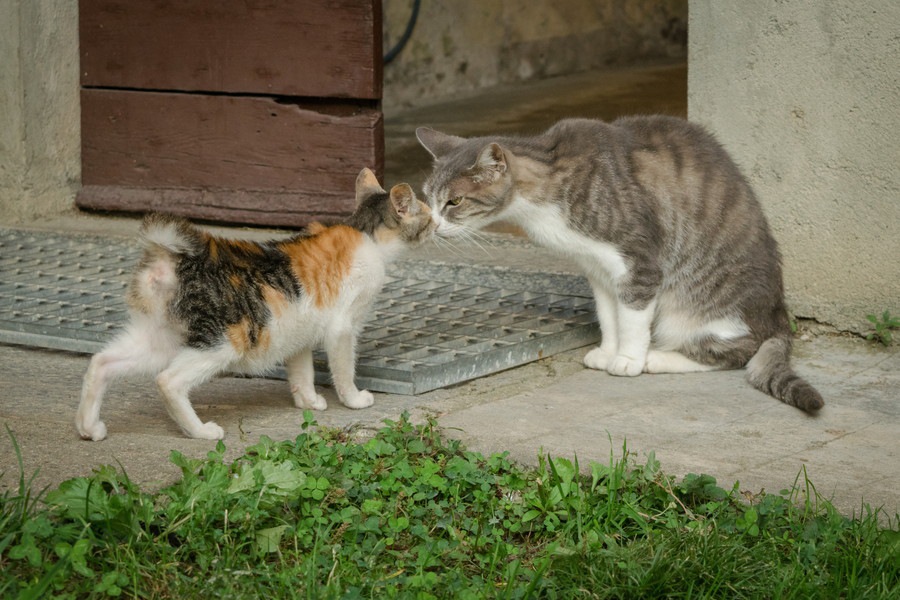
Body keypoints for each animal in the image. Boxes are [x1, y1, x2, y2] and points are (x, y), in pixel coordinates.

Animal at [77, 169, 436, 440]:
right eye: (428, 217)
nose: (437, 224)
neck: (366, 234)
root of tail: (174, 257)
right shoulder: (342, 328)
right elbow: (344, 367)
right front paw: (353, 399)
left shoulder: (299, 333)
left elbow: (302, 370)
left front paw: (308, 401)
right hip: (224, 340)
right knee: (168, 381)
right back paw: (201, 432)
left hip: (159, 338)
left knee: (101, 362)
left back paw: (89, 428)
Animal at [414, 115, 824, 410]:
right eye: (427, 199)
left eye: (454, 202)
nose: (433, 225)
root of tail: (778, 317)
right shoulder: (597, 269)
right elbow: (608, 316)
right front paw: (608, 351)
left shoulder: (639, 265)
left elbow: (632, 319)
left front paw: (627, 358)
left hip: (697, 311)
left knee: (736, 351)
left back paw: (658, 358)